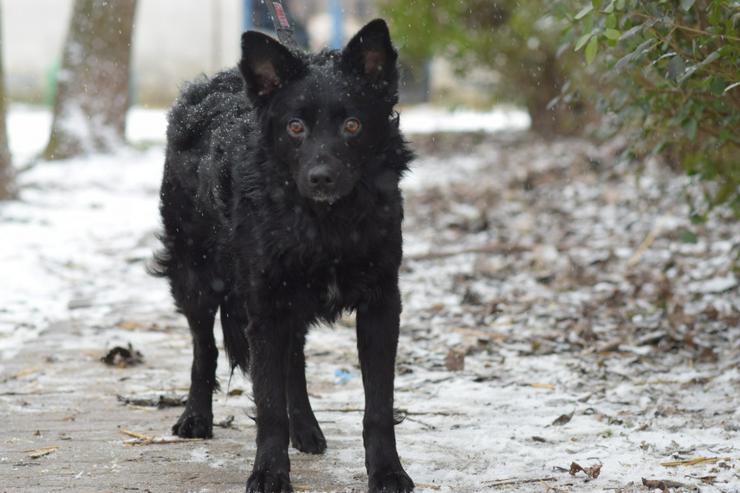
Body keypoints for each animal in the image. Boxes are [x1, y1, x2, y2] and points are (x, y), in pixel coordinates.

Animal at [152, 19, 414, 492]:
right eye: (295, 127)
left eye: (352, 125)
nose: (321, 177)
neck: (326, 223)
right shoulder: (267, 305)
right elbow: (269, 405)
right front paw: (269, 474)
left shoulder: (381, 304)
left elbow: (379, 407)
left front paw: (388, 472)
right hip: (195, 277)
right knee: (205, 349)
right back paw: (196, 417)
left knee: (293, 361)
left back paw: (306, 428)